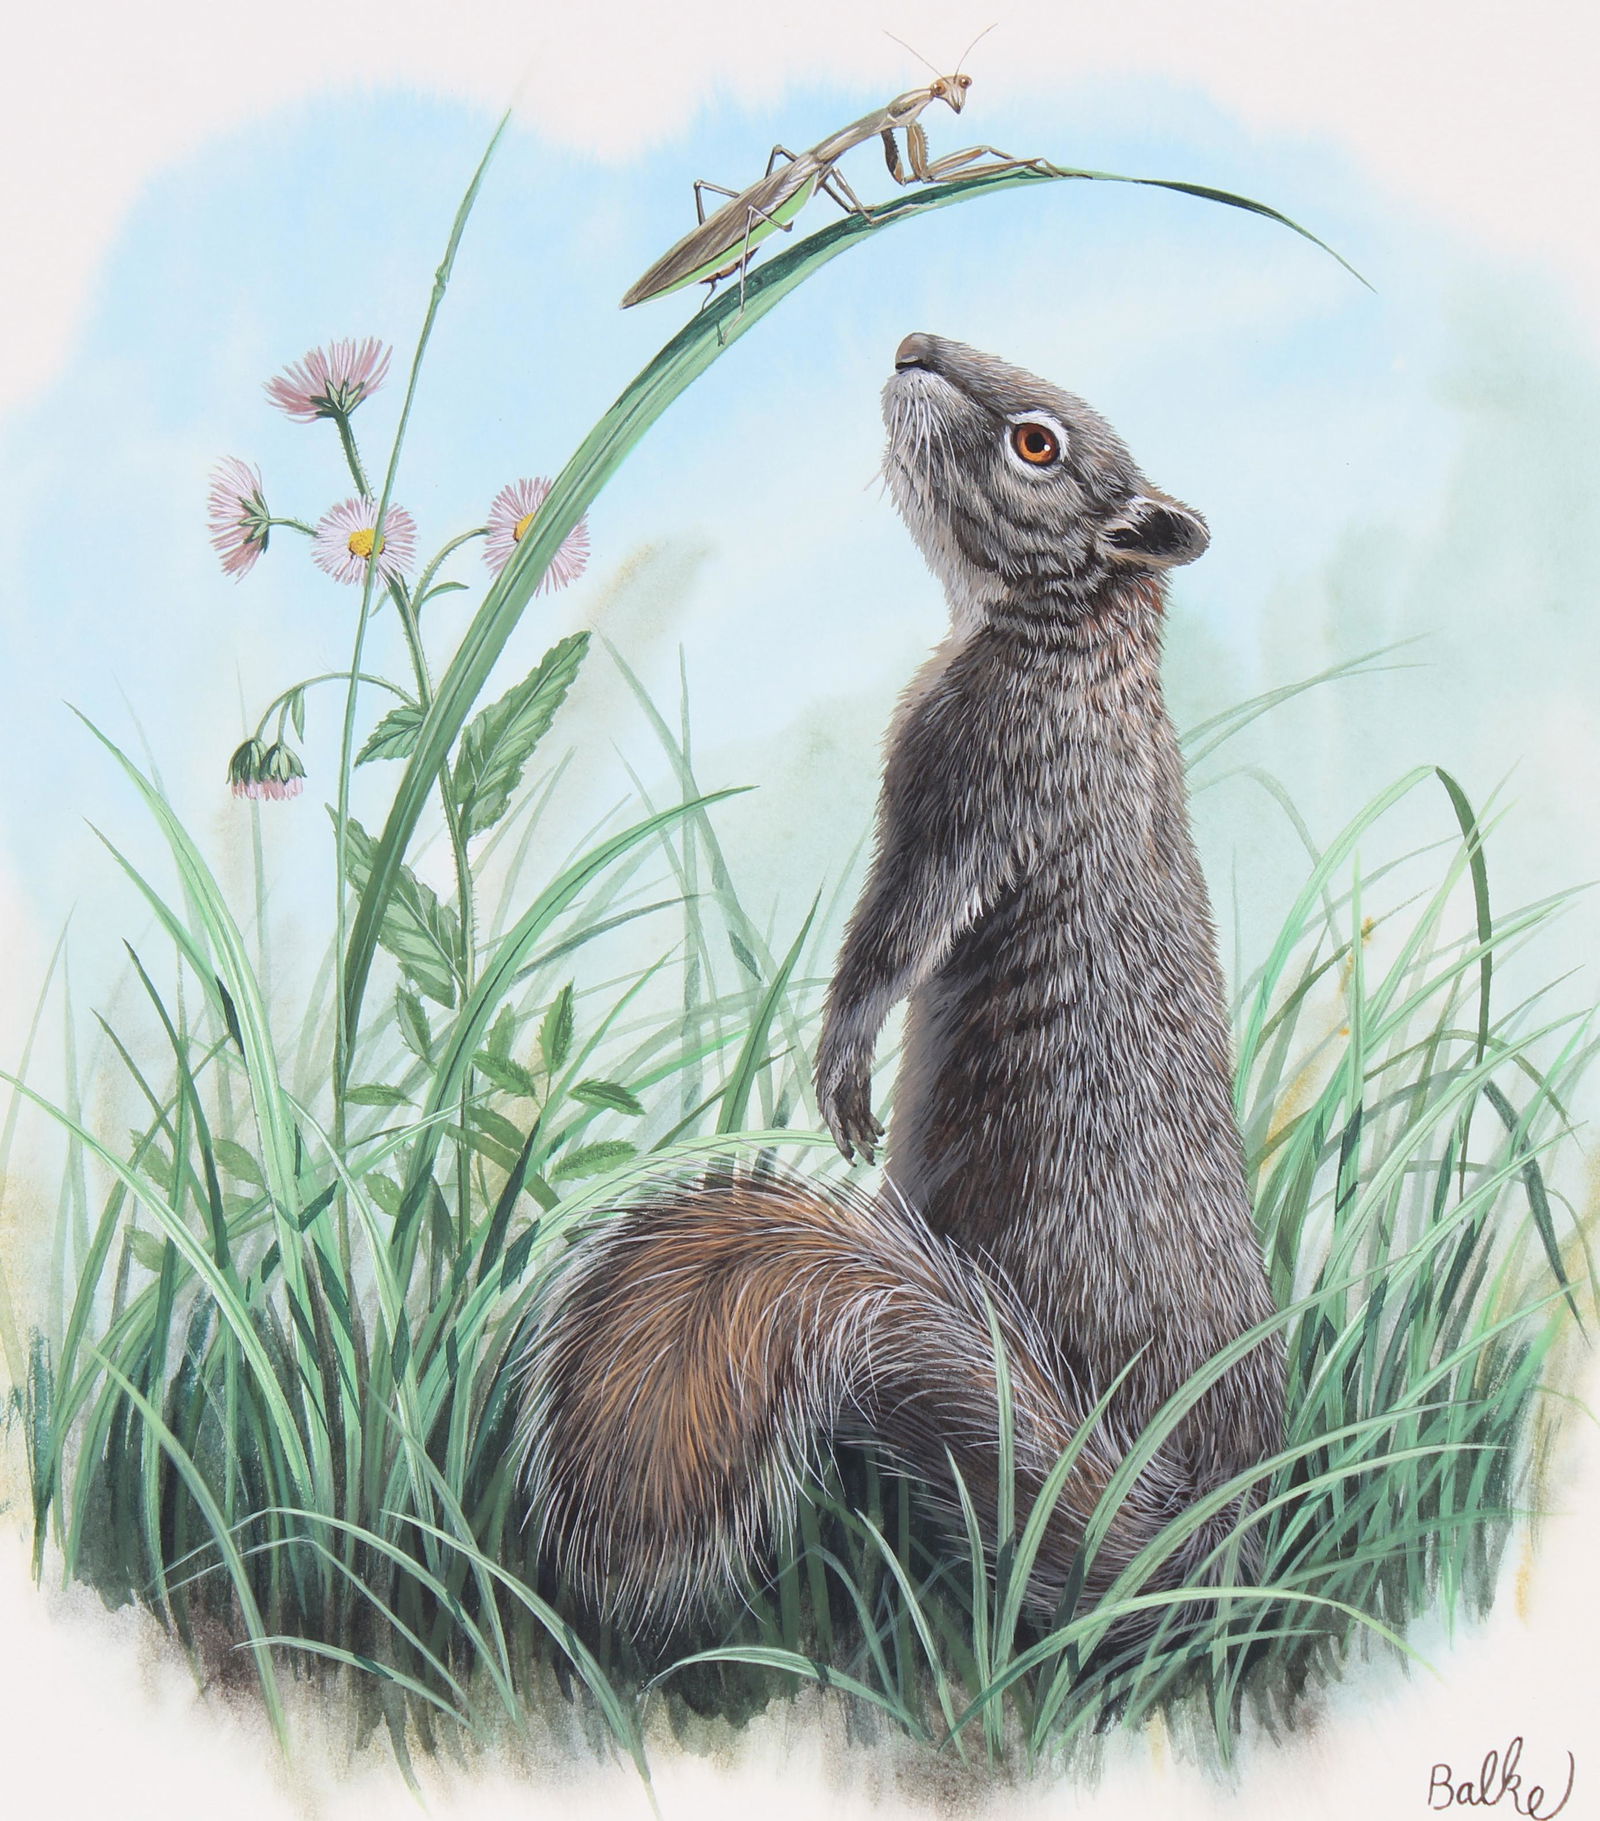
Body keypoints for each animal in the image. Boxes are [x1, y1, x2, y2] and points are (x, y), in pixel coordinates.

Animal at [518, 332, 1285, 1637]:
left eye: (1039, 443)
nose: (915, 345)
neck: (1079, 644)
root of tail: (1202, 1525)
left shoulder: (969, 774)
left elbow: (892, 935)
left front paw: (839, 1071)